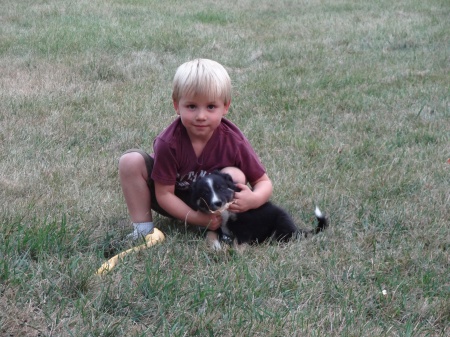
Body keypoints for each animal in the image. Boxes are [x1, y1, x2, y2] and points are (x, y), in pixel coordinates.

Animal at [190, 171, 326, 247]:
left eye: (221, 188)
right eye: (205, 193)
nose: (217, 203)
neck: (225, 211)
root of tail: (297, 230)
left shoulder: (244, 222)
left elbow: (240, 242)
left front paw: (236, 254)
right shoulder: (214, 223)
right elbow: (210, 235)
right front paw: (215, 247)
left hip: (281, 221)